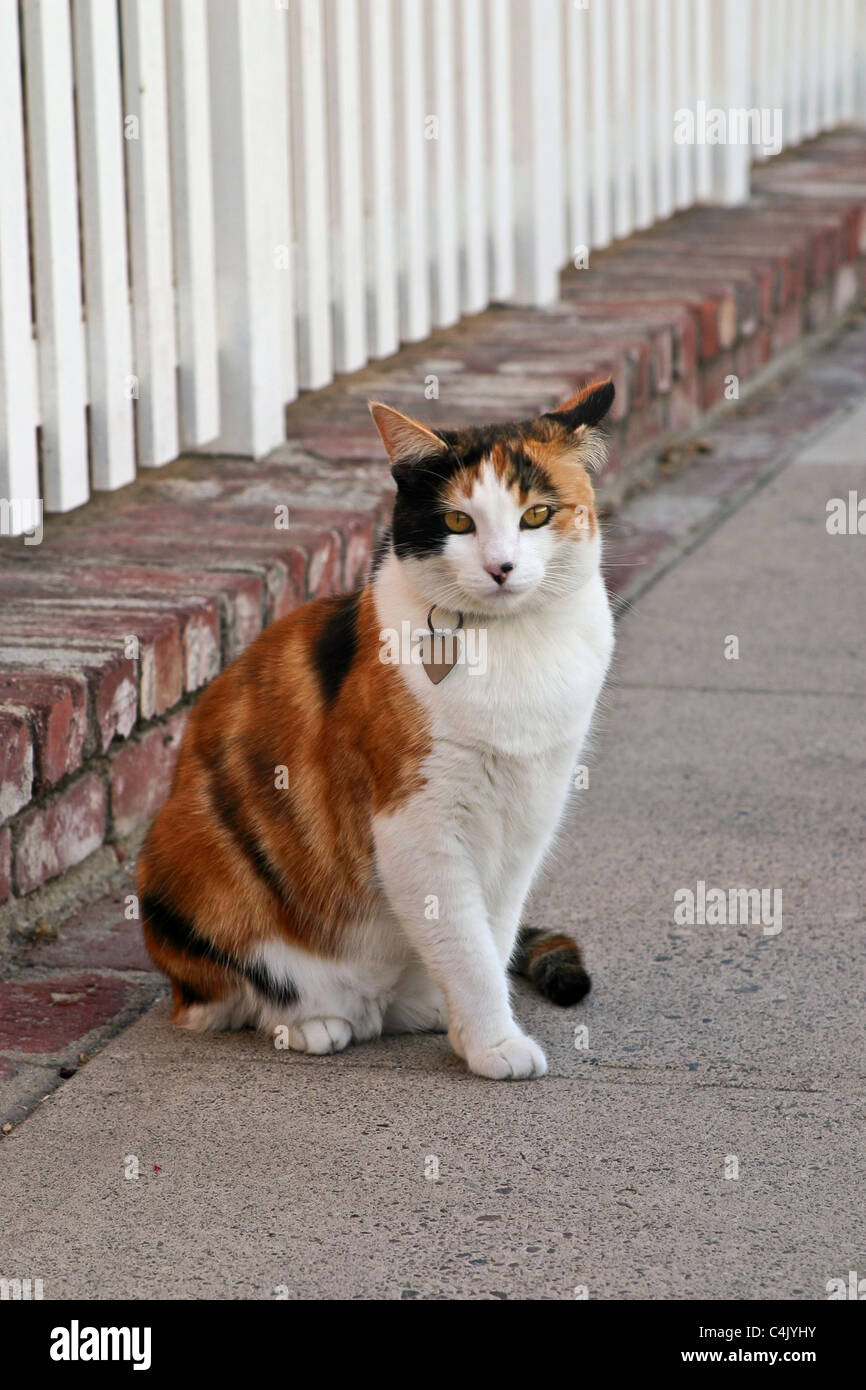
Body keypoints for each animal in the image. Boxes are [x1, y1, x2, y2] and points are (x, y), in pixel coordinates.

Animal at [140, 378, 617, 1073]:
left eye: (536, 515)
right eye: (457, 521)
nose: (501, 566)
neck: (511, 647)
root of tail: (375, 1008)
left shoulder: (531, 811)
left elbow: (492, 933)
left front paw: (473, 1031)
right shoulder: (417, 824)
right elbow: (467, 946)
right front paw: (496, 1045)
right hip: (186, 851)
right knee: (229, 1000)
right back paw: (313, 1024)